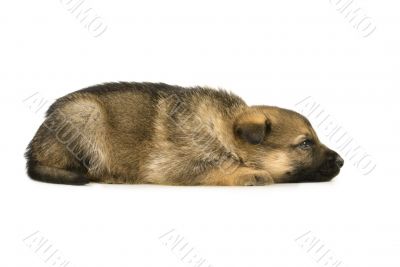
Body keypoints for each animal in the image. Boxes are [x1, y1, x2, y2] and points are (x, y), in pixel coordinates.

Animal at [25, 82, 344, 185]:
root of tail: (33, 149)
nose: (342, 161)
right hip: (85, 114)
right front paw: (247, 172)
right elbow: (215, 166)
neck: (223, 129)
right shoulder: (171, 165)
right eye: (305, 144)